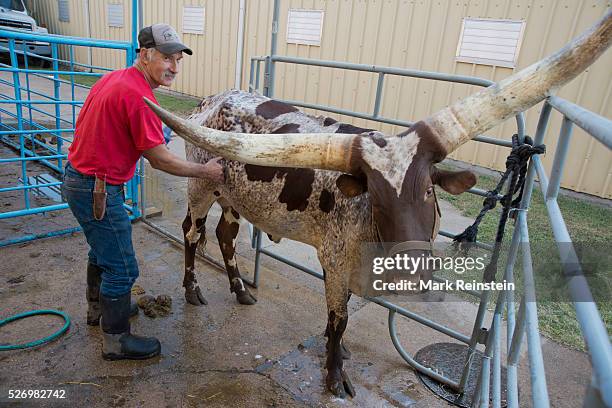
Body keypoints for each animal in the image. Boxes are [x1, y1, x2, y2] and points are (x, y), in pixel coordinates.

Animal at [146, 13, 608, 398]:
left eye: (428, 192)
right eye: (377, 197)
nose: (413, 272)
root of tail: (211, 99)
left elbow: (341, 319)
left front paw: (338, 353)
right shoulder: (335, 261)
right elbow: (340, 319)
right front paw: (335, 375)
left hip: (235, 197)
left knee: (225, 235)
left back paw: (241, 289)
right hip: (201, 187)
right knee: (193, 233)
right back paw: (192, 290)